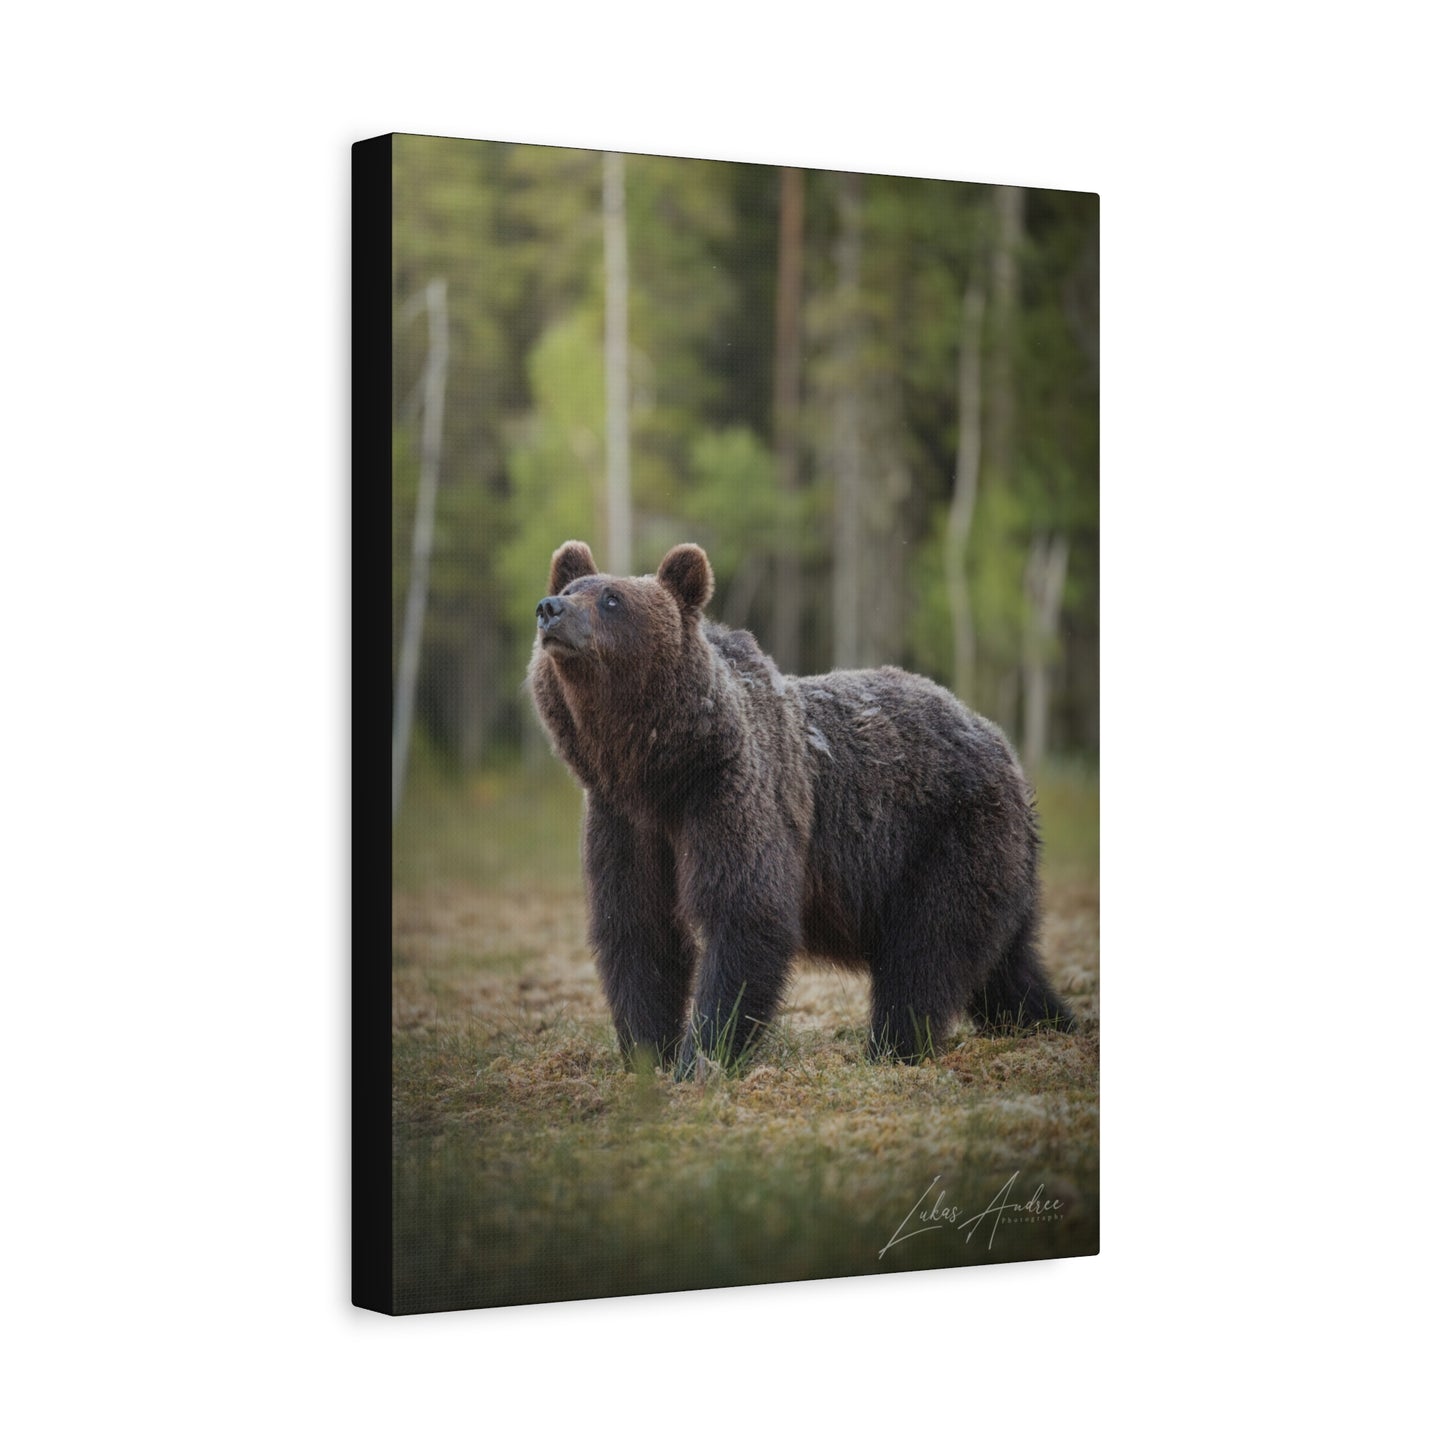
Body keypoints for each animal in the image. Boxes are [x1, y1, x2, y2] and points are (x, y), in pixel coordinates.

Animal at [527, 539, 1074, 1076]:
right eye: (572, 587)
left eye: (611, 599)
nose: (549, 609)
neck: (657, 770)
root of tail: (1001, 746)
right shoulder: (624, 820)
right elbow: (640, 927)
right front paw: (648, 1053)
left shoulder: (729, 793)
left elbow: (746, 914)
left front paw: (703, 1055)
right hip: (995, 861)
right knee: (1005, 965)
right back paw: (1051, 1022)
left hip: (947, 833)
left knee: (928, 949)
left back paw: (892, 1048)